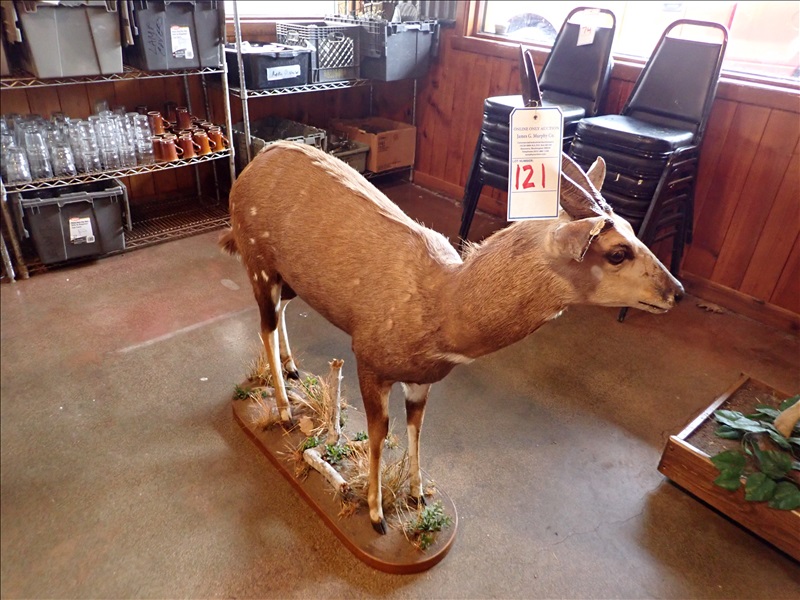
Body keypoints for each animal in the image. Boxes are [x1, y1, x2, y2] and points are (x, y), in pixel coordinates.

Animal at [220, 140, 684, 534]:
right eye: (617, 251)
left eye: (633, 228)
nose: (676, 291)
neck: (441, 307)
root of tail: (255, 162)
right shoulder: (367, 358)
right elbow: (377, 434)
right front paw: (376, 515)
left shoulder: (421, 380)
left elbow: (416, 428)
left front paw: (417, 496)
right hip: (258, 261)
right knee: (264, 324)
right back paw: (283, 411)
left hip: (287, 277)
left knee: (279, 315)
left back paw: (295, 370)